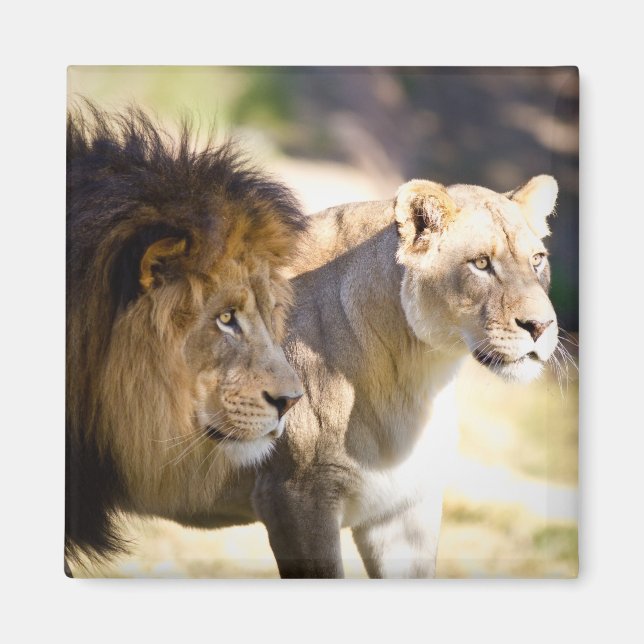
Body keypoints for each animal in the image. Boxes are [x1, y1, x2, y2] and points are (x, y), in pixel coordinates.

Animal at [249, 175, 561, 577]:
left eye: (537, 260)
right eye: (481, 264)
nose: (541, 326)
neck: (417, 374)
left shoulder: (402, 508)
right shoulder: (293, 496)